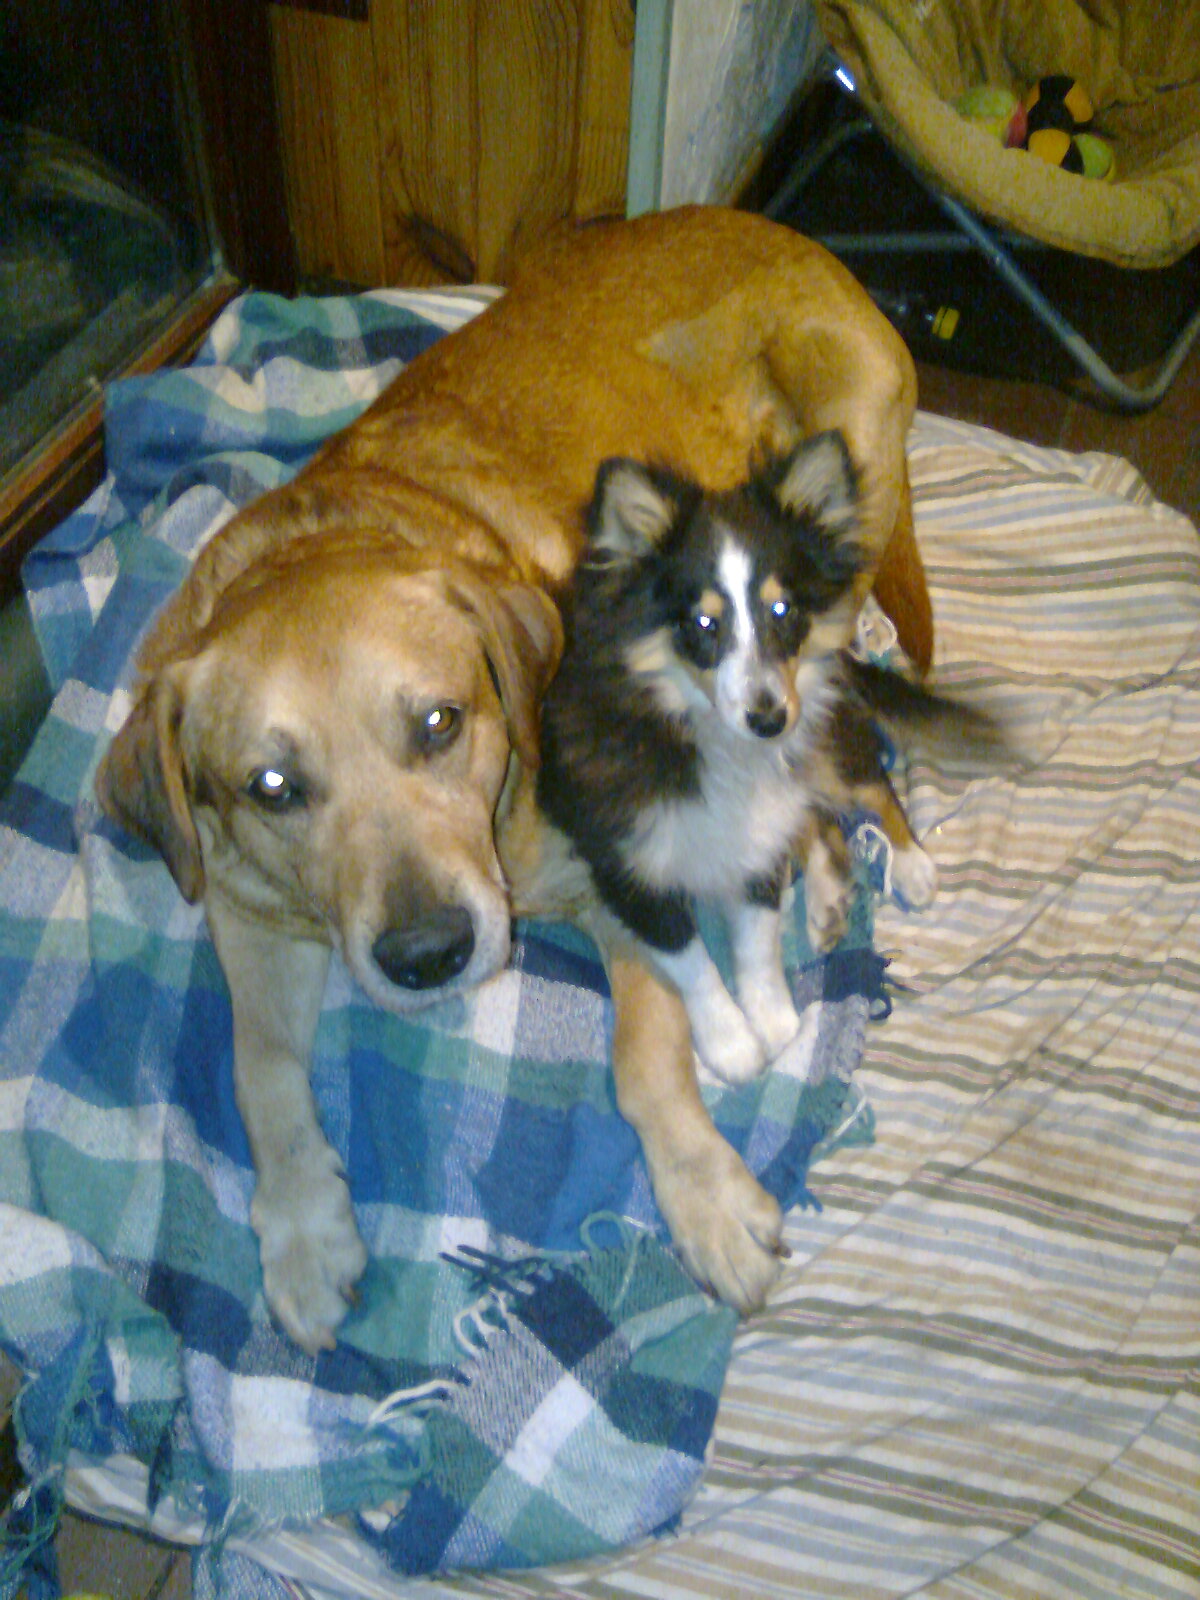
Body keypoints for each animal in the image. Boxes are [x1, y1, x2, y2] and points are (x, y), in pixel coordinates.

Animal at [95, 205, 930, 1353]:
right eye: (271, 787)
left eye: (440, 722)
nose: (427, 956)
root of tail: (798, 240)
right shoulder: (245, 911)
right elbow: (256, 1067)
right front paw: (303, 1231)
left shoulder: (614, 879)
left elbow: (646, 1060)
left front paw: (709, 1202)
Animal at [538, 432, 988, 1087]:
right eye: (703, 622)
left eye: (783, 611)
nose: (770, 719)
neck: (710, 742)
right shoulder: (627, 867)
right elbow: (692, 959)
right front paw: (733, 1044)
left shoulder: (756, 846)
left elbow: (757, 939)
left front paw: (774, 1023)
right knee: (819, 820)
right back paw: (828, 900)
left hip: (825, 739)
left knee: (870, 784)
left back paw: (909, 865)